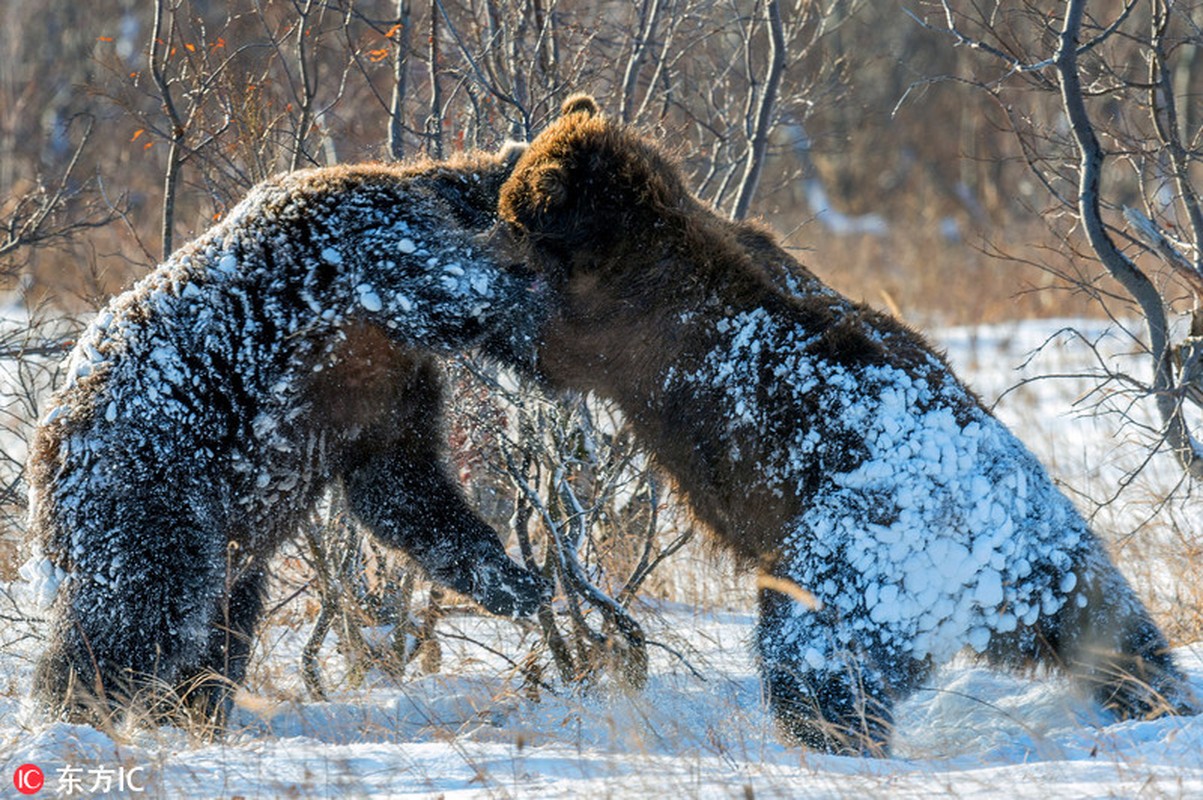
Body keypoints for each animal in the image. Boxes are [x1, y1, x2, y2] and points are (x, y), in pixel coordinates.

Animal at [28, 143, 548, 721]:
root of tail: (45, 450)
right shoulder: (367, 246)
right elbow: (458, 288)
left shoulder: (384, 391)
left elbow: (403, 487)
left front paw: (514, 581)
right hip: (152, 489)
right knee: (142, 608)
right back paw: (77, 709)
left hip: (230, 533)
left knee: (223, 624)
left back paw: (192, 708)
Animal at [495, 95, 1193, 755]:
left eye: (514, 212)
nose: (498, 211)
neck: (639, 246)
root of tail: (992, 555)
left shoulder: (630, 332)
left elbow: (547, 343)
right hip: (1062, 559)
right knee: (1116, 632)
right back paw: (1163, 699)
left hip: (854, 552)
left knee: (812, 654)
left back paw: (832, 740)